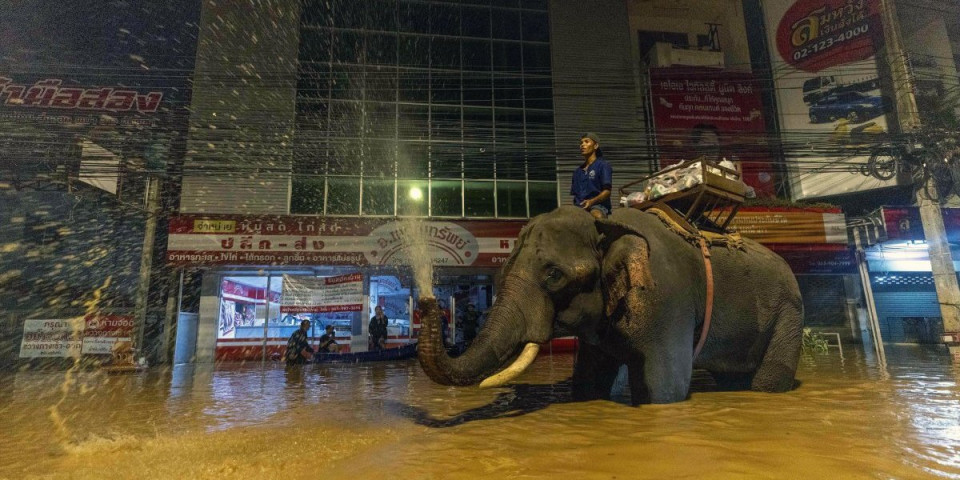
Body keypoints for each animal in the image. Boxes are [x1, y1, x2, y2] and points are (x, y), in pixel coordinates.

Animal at [418, 206, 804, 404]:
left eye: (554, 275)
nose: (426, 300)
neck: (606, 223)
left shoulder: (667, 298)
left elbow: (665, 388)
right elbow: (590, 379)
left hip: (789, 312)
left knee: (768, 380)